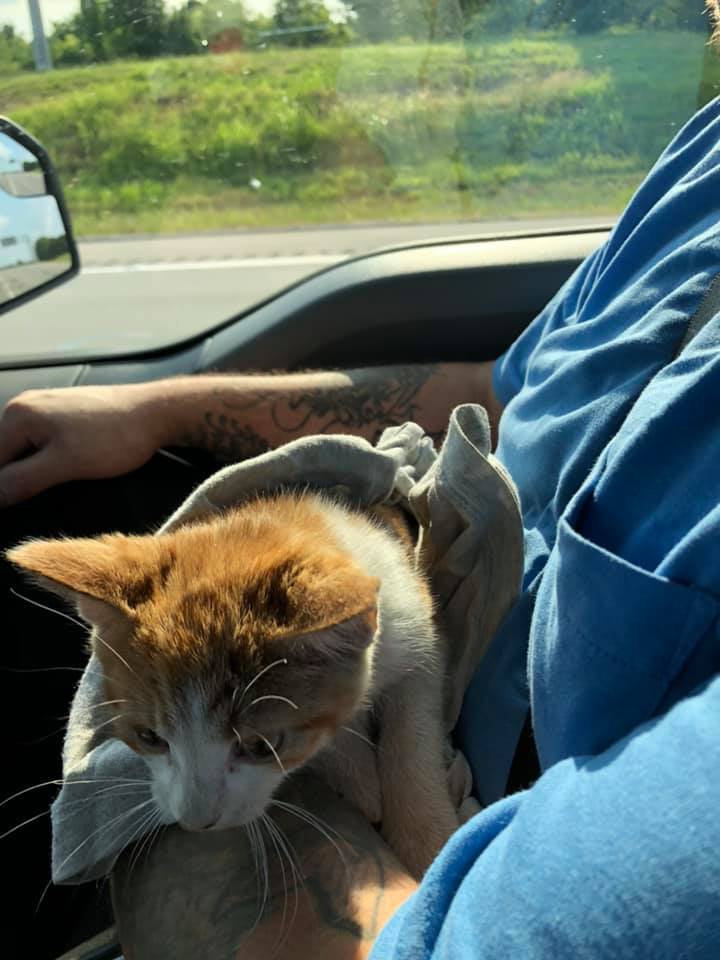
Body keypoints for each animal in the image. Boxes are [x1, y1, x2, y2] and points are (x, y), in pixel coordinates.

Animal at [8, 496, 458, 876]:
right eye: (149, 737)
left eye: (261, 746)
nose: (195, 821)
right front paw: (359, 779)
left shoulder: (415, 625)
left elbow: (412, 732)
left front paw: (426, 838)